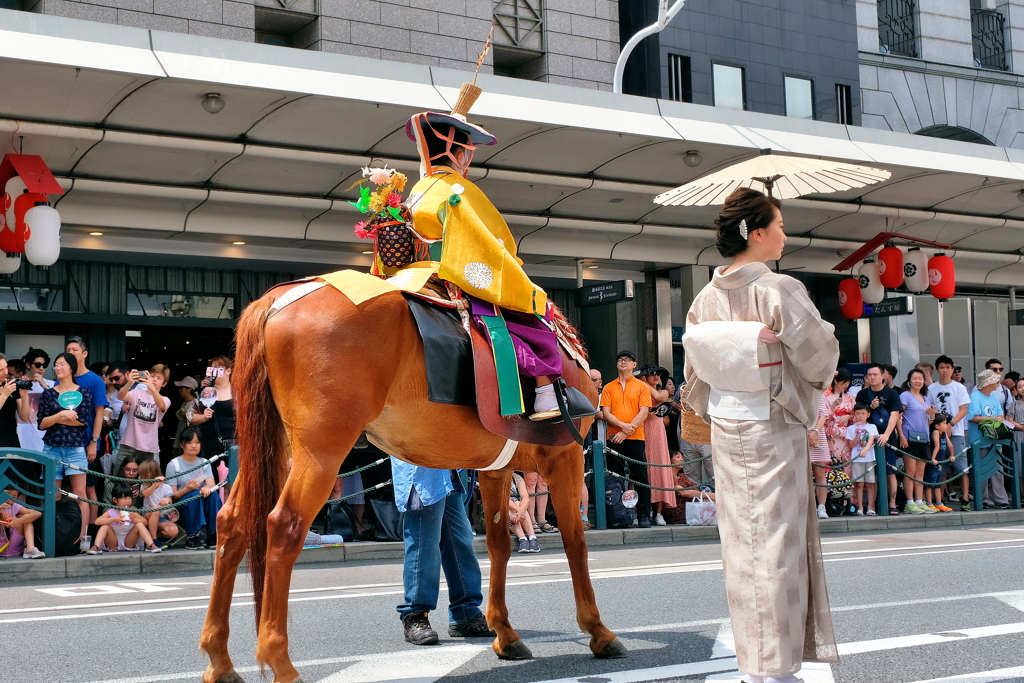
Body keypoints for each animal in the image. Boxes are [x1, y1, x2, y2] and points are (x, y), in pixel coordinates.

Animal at [194, 280, 618, 679]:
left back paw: (220, 659)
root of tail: (278, 299)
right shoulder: (566, 456)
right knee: (284, 526)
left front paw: (505, 634)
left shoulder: (495, 468)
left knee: (232, 524)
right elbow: (575, 542)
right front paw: (597, 629)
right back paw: (279, 661)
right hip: (321, 450)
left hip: (277, 447)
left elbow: (498, 545)